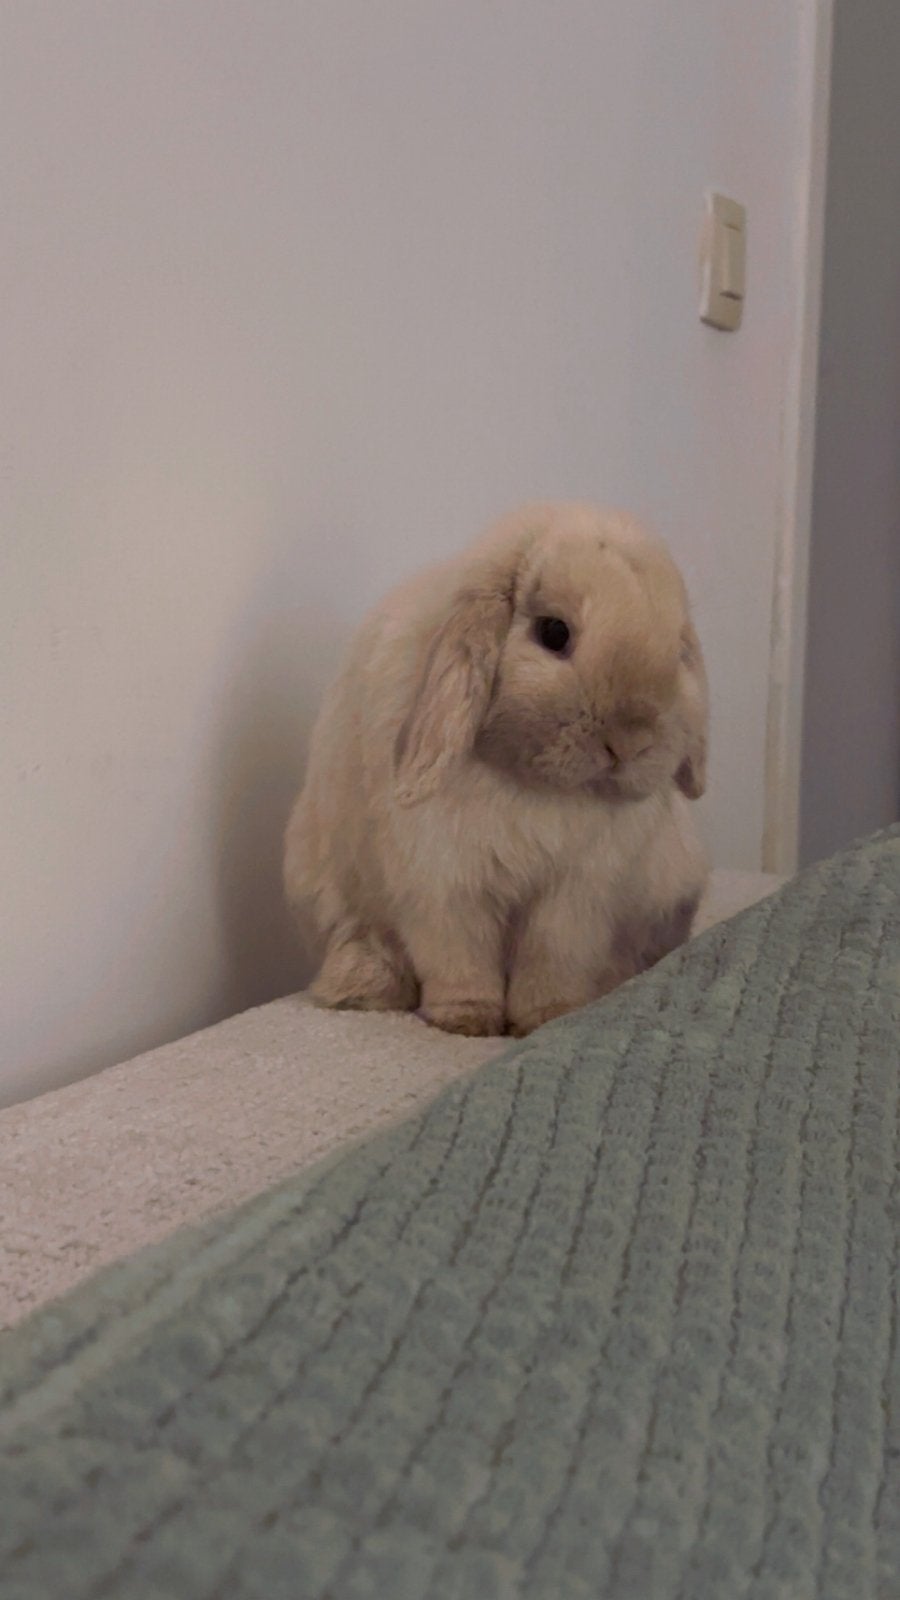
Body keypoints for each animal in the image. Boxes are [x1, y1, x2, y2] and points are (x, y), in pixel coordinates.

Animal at [284, 502, 709, 1037]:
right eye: (553, 632)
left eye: (678, 652)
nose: (630, 742)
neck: (533, 785)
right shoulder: (442, 883)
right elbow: (458, 955)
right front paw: (466, 1020)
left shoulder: (575, 898)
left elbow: (551, 958)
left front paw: (546, 1017)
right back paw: (361, 985)